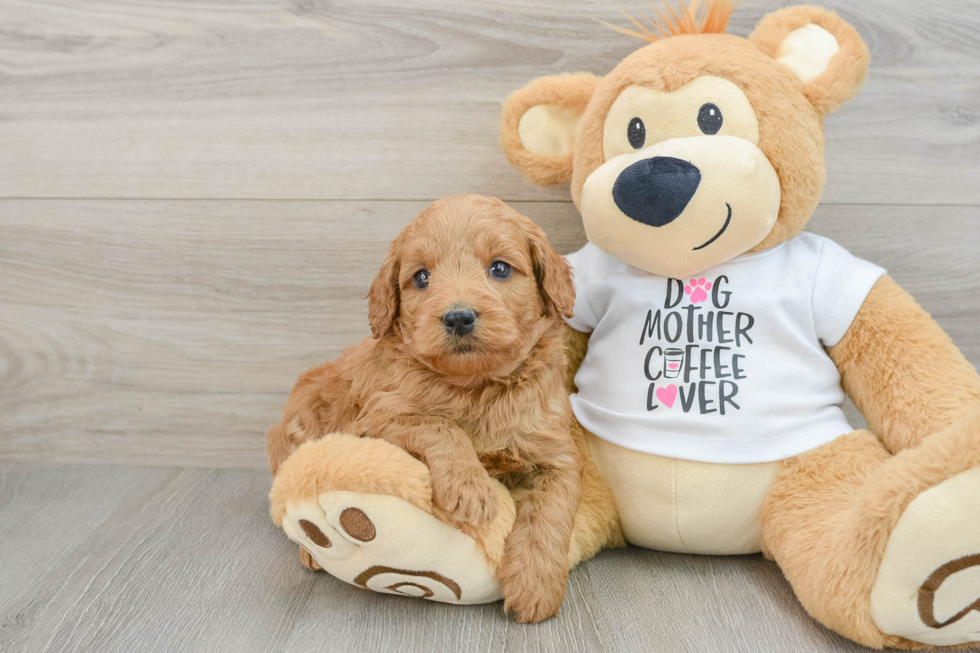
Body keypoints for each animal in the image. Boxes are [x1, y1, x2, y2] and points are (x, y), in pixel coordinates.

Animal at [264, 195, 580, 620]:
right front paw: (471, 487)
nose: (458, 317)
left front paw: (535, 586)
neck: (474, 387)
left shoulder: (556, 453)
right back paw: (311, 551)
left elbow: (551, 512)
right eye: (421, 277)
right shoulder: (374, 420)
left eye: (500, 268)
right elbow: (439, 425)